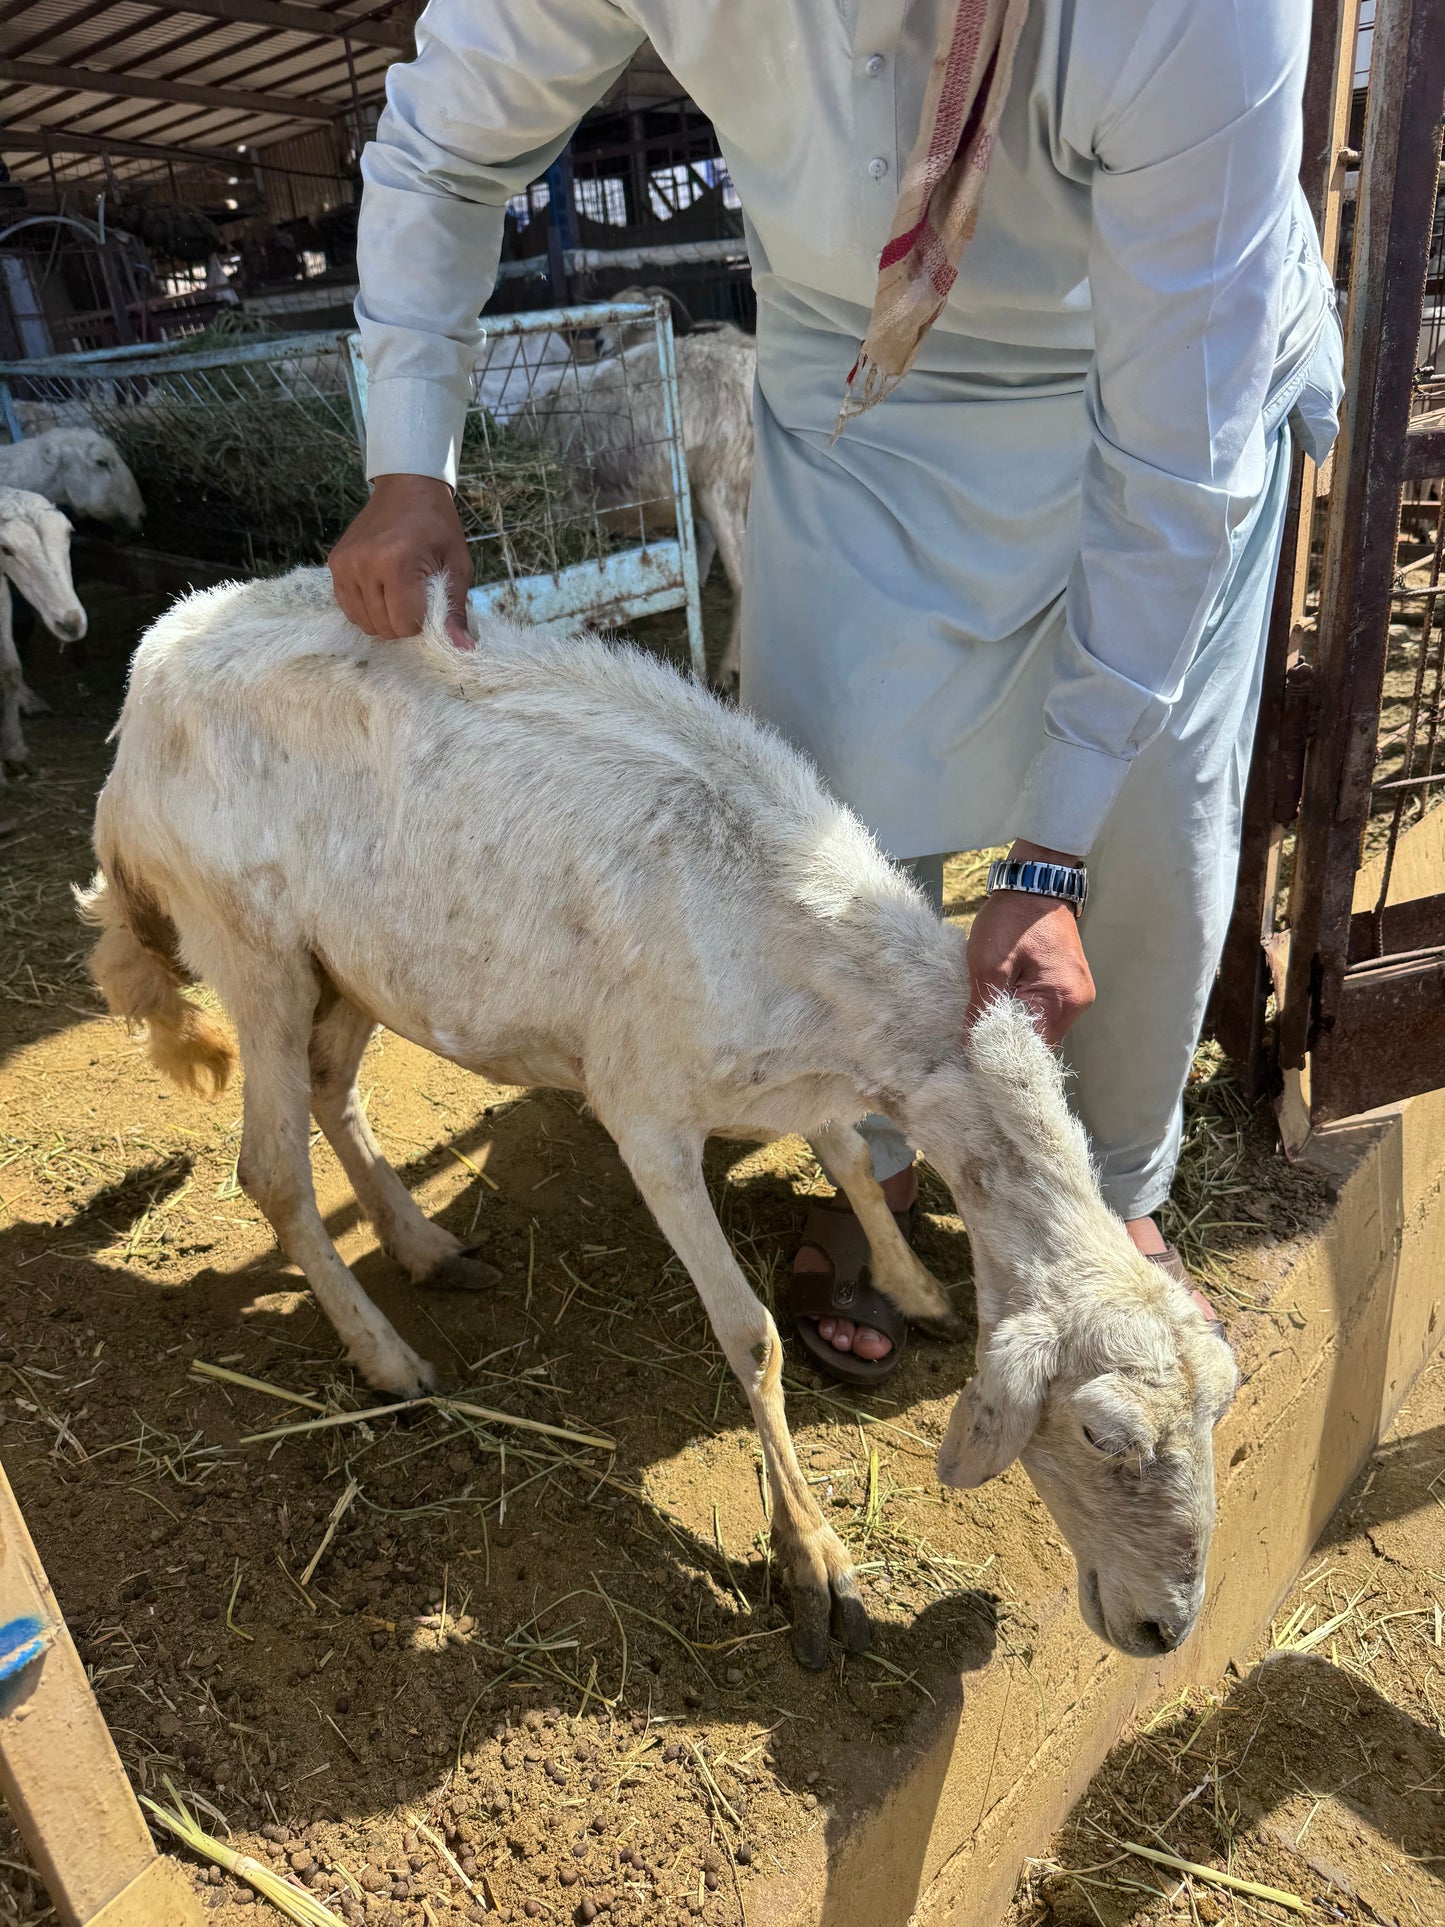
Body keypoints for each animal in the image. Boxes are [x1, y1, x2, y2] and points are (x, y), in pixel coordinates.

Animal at [79, 567, 1237, 1667]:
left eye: (1217, 1405)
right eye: (1099, 1434)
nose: (1164, 1629)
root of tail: (148, 670)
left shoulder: (798, 1082)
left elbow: (854, 1166)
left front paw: (911, 1284)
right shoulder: (644, 1114)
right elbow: (753, 1335)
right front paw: (813, 1561)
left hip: (356, 959)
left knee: (331, 1087)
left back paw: (423, 1247)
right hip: (252, 948)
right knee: (272, 1170)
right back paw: (386, 1360)